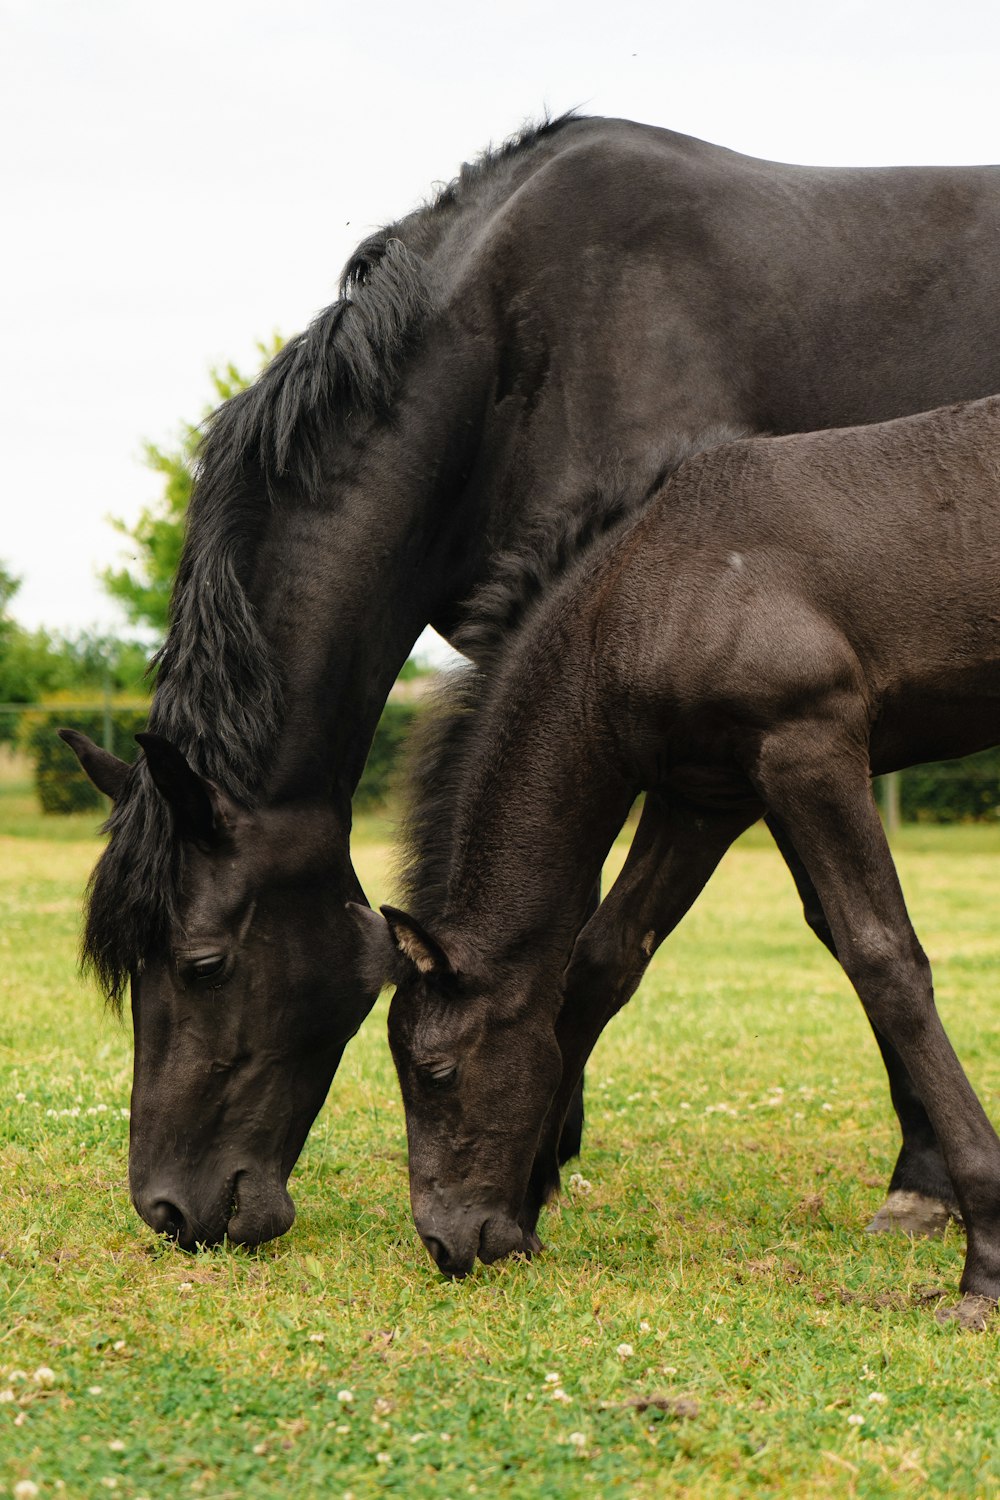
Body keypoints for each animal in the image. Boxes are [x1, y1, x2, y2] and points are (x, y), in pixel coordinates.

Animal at [361, 399, 1000, 1326]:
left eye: (434, 1071)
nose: (448, 1243)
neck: (648, 588)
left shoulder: (808, 748)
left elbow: (883, 959)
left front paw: (985, 1264)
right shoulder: (703, 797)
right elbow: (603, 960)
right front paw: (525, 1210)